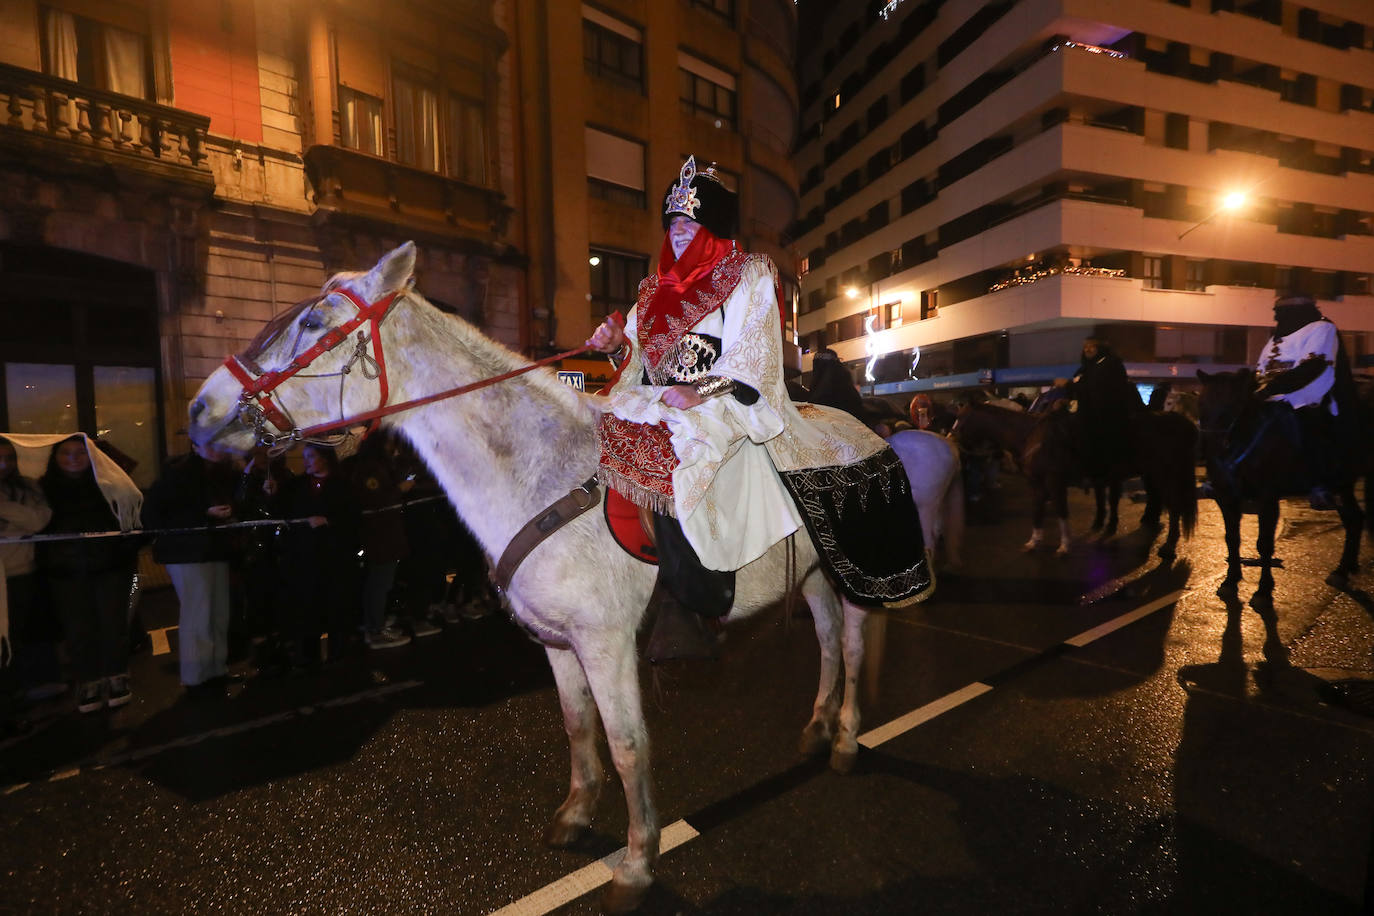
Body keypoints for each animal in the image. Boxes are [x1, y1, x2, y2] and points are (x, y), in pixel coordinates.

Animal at [185, 245, 956, 916]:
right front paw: (576, 815)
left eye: (314, 324)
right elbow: (578, 726)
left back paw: (847, 740)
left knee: (850, 646)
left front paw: (637, 865)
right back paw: (817, 725)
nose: (200, 410)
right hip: (817, 578)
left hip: (856, 578)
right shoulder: (559, 645)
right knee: (825, 643)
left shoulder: (606, 644)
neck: (542, 472)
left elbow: (627, 744)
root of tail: (870, 432)